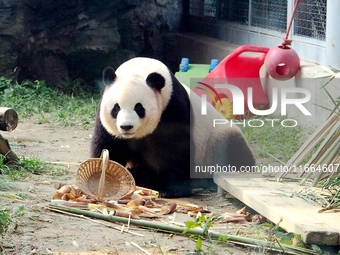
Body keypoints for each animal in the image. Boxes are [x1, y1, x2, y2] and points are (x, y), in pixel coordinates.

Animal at [91, 57, 255, 197]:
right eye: (116, 108)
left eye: (139, 108)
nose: (126, 126)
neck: (140, 68)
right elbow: (109, 145)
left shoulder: (173, 105)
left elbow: (175, 150)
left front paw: (173, 189)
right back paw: (140, 174)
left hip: (217, 139)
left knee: (232, 153)